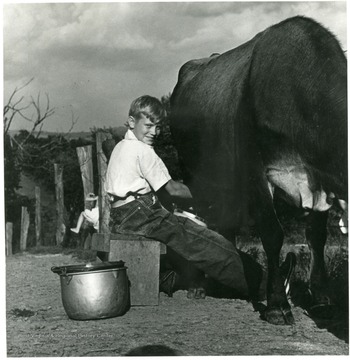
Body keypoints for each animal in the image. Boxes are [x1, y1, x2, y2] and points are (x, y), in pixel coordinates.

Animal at [170, 16, 348, 326]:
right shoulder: (256, 170)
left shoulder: (320, 179)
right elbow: (272, 233)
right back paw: (198, 286)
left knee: (226, 224)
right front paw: (277, 305)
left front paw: (322, 300)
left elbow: (317, 236)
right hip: (193, 171)